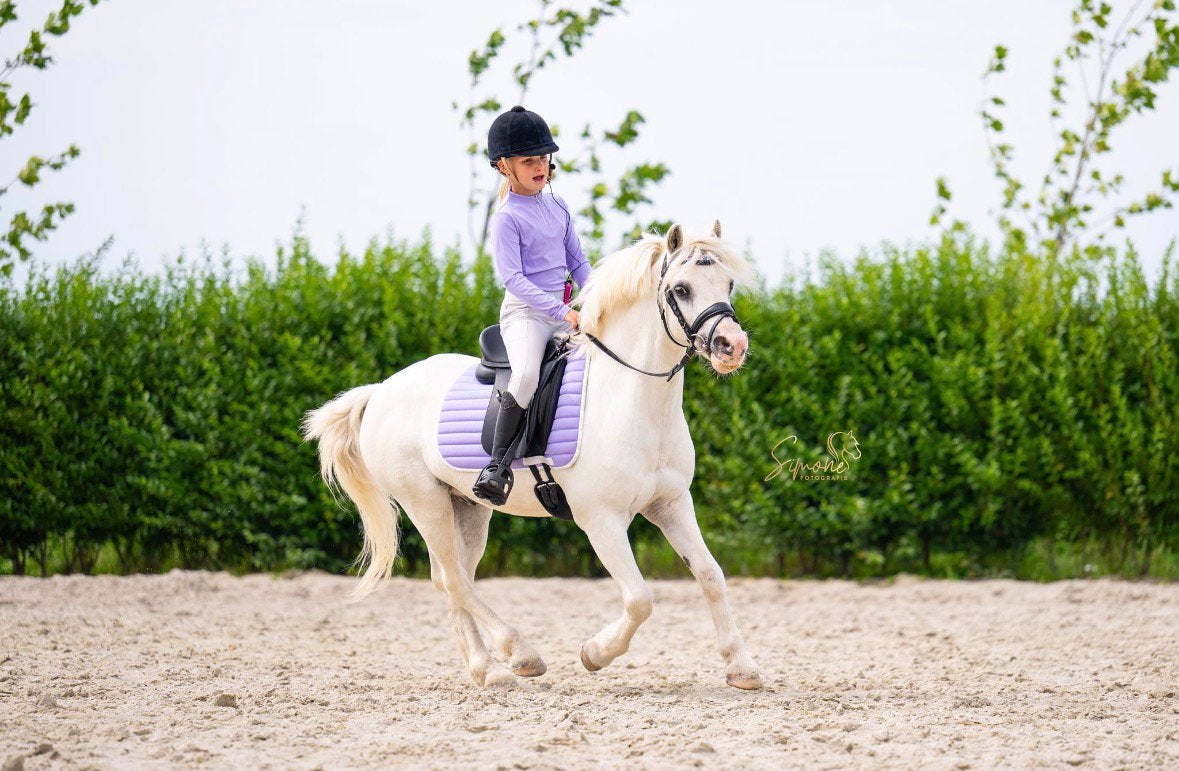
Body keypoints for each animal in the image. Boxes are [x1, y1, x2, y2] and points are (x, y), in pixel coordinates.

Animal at [302, 220, 764, 690]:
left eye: (727, 283)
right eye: (682, 289)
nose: (733, 346)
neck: (631, 399)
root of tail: (381, 390)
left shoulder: (671, 505)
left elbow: (711, 575)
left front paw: (741, 667)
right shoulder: (602, 520)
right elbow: (640, 599)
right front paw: (594, 654)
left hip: (467, 507)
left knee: (452, 580)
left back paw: (486, 669)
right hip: (423, 501)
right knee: (454, 580)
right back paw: (519, 655)